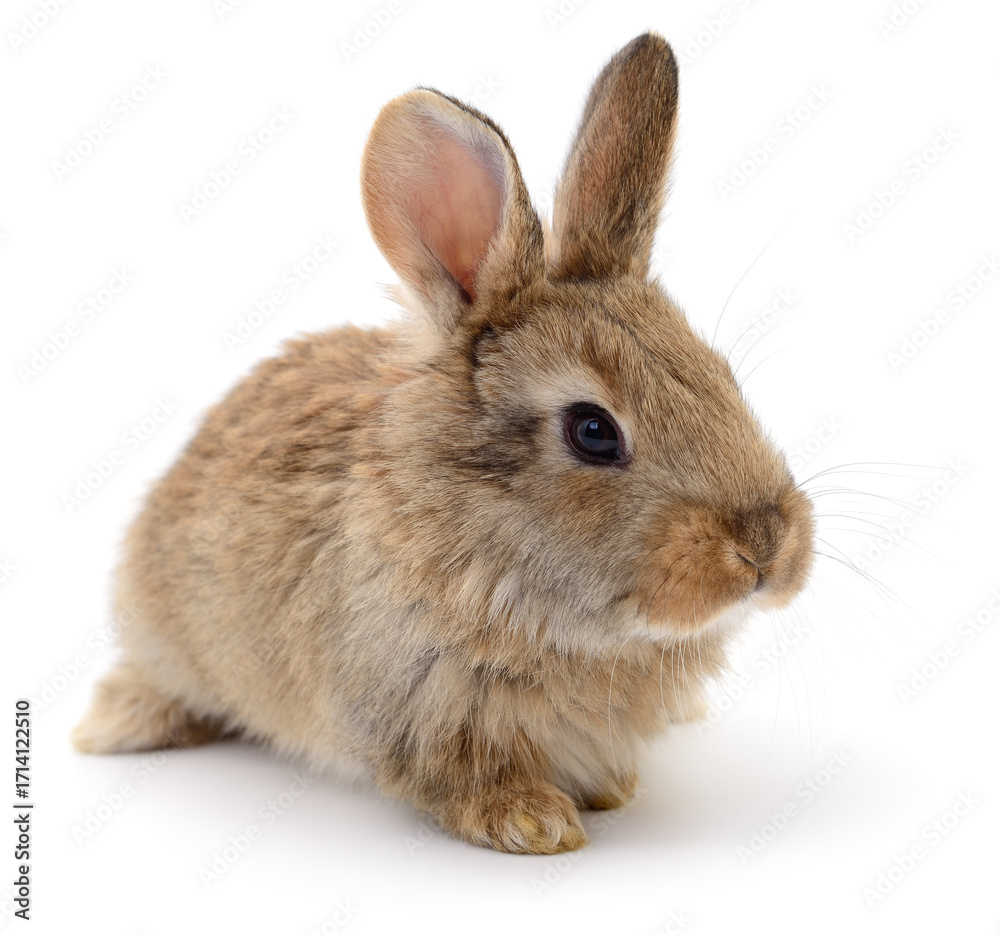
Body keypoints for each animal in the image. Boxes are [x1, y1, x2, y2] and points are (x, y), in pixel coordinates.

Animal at [72, 32, 814, 855]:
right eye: (593, 431)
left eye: (721, 376)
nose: (766, 548)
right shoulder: (423, 709)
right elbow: (459, 777)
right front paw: (533, 822)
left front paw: (609, 790)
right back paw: (114, 728)